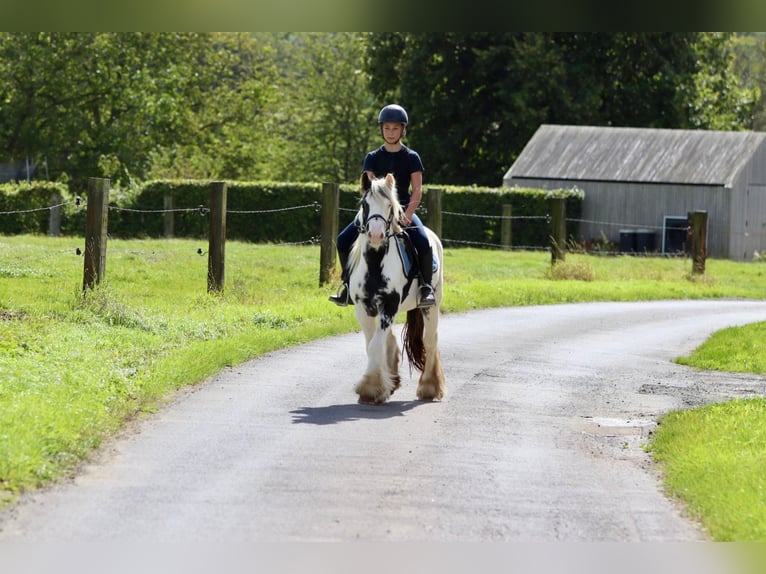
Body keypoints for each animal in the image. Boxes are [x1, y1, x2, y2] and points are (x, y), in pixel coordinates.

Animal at [346, 173, 448, 408]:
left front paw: (371, 389)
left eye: (389, 206)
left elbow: (375, 345)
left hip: (431, 306)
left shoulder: (389, 305)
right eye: (365, 204)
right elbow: (372, 343)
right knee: (390, 339)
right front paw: (381, 386)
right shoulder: (362, 308)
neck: (375, 263)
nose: (375, 235)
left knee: (430, 341)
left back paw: (429, 388)